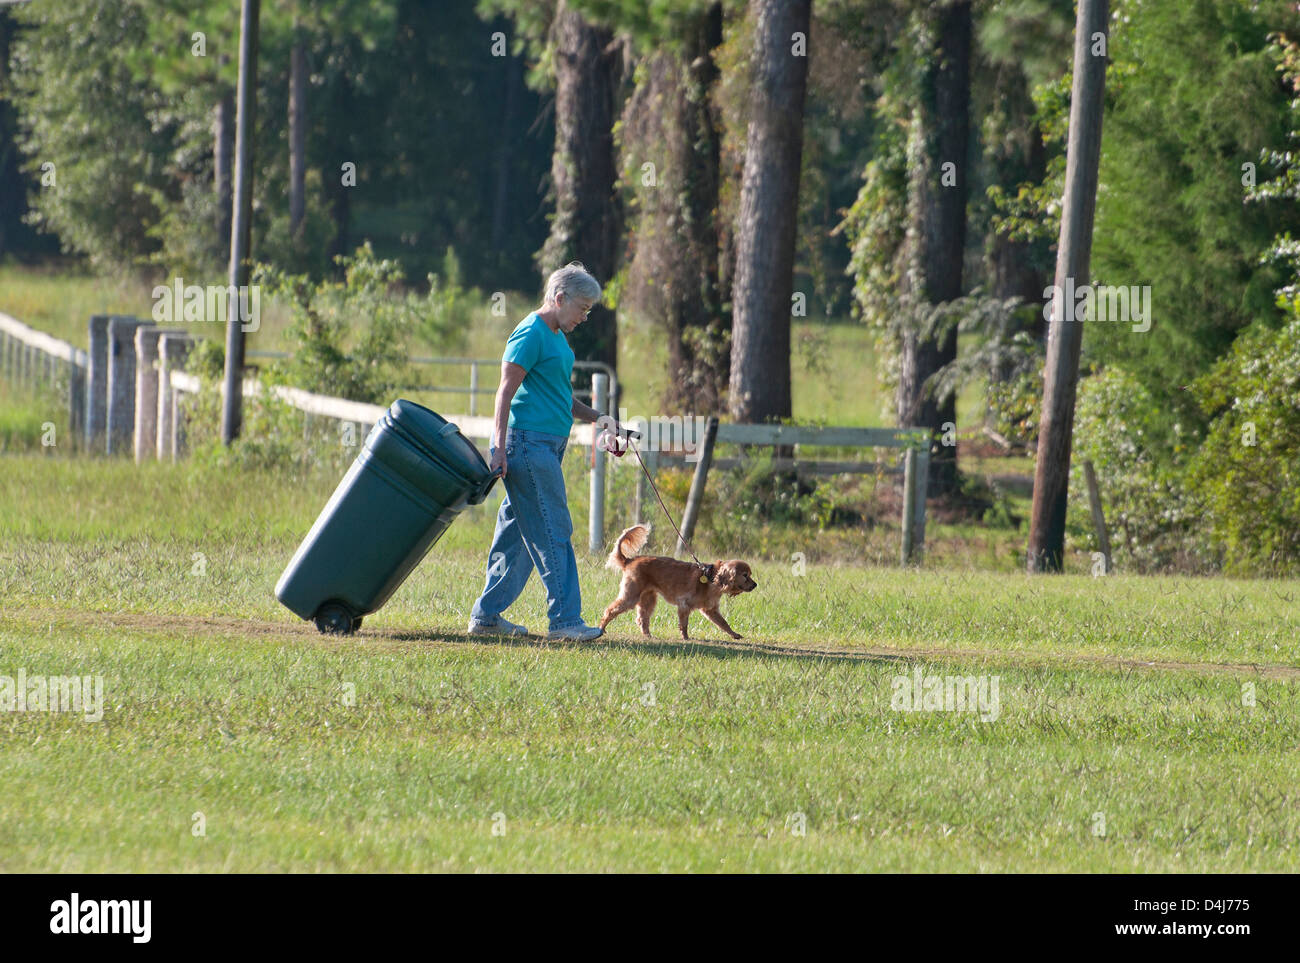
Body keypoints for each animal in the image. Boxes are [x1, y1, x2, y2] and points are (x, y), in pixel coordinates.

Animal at [595, 525, 759, 639]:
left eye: (750, 575)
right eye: (745, 575)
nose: (755, 585)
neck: (711, 580)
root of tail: (629, 560)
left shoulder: (710, 610)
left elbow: (724, 623)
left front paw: (734, 634)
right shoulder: (684, 605)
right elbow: (684, 624)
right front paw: (685, 637)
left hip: (648, 599)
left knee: (642, 619)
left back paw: (648, 635)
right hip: (630, 597)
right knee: (610, 610)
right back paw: (602, 628)